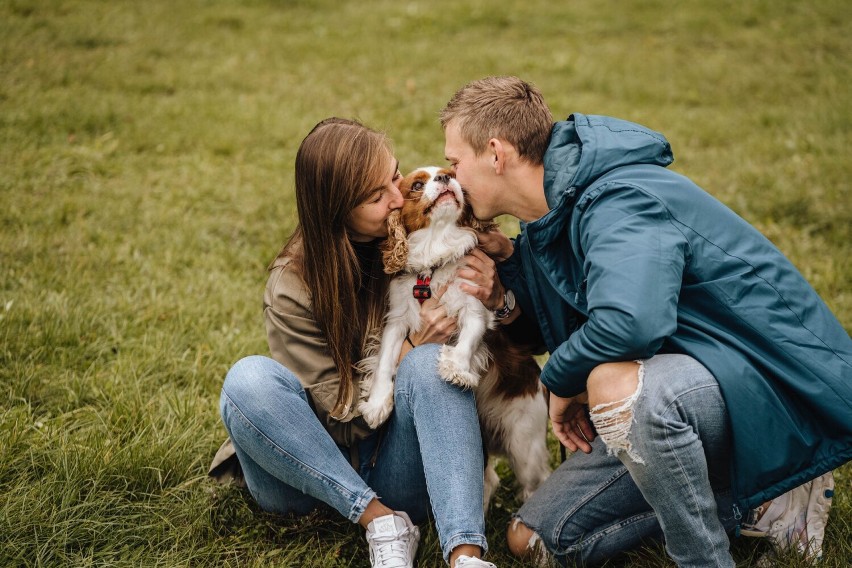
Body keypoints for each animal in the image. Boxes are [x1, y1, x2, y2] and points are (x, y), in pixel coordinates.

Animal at [356, 166, 548, 508]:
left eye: (451, 174)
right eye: (417, 185)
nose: (445, 180)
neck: (436, 254)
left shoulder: (476, 307)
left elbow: (468, 339)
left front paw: (456, 369)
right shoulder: (398, 321)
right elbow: (385, 362)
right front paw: (378, 404)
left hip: (524, 441)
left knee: (536, 482)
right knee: (490, 479)